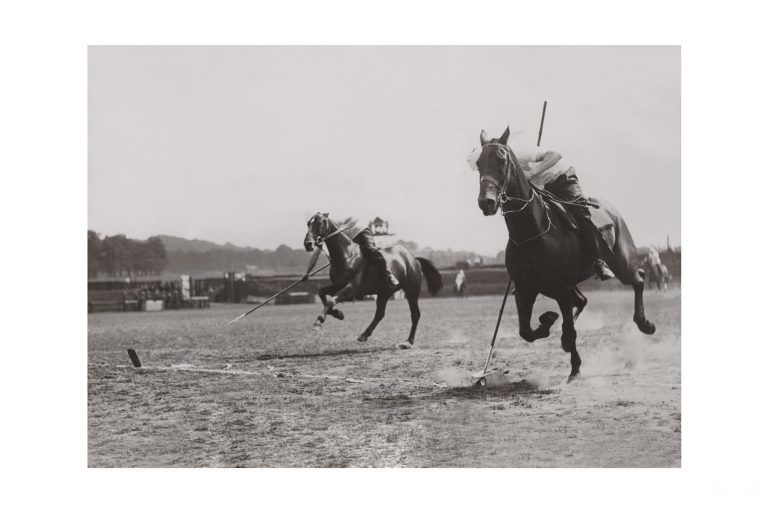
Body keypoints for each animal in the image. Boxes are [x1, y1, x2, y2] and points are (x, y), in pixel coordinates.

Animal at [302, 212, 440, 348]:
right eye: (308, 223)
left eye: (319, 222)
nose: (308, 244)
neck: (346, 255)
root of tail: (413, 259)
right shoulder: (338, 285)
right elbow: (322, 293)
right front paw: (337, 313)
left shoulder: (352, 288)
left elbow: (331, 300)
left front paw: (318, 322)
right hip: (385, 292)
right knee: (380, 313)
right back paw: (364, 335)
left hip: (411, 290)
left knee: (415, 314)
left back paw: (408, 342)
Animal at [474, 128, 656, 380]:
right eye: (478, 164)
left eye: (501, 161)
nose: (486, 202)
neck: (531, 231)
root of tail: (611, 209)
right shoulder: (525, 289)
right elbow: (526, 331)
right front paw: (548, 322)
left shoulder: (560, 287)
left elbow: (569, 328)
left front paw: (575, 368)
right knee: (583, 300)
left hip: (622, 260)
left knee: (638, 279)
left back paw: (645, 323)